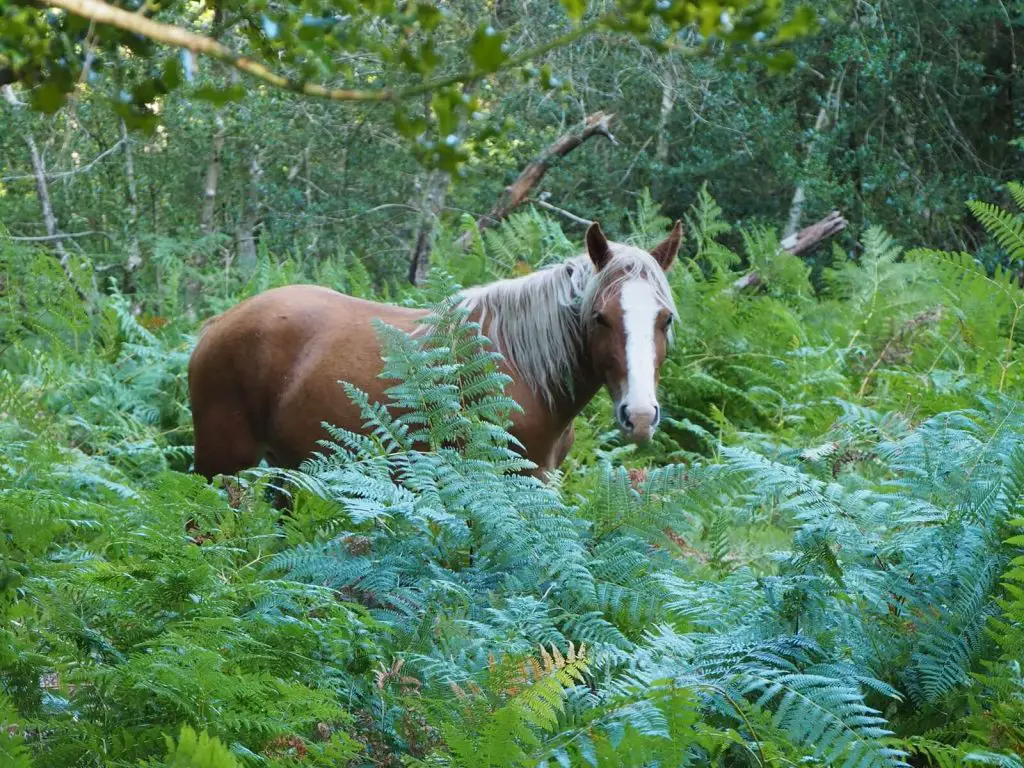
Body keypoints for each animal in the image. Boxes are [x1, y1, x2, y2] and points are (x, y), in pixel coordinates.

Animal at [186, 219, 679, 481]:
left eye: (665, 319)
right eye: (600, 317)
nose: (638, 416)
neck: (519, 368)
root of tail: (217, 326)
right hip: (221, 467)